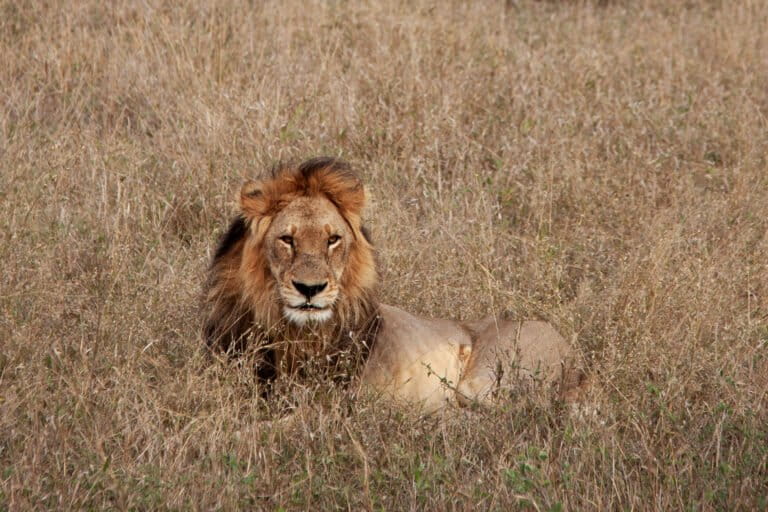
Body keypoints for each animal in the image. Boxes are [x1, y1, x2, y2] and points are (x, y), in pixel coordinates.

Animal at [202, 157, 583, 413]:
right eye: (286, 239)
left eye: (332, 240)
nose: (310, 289)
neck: (296, 333)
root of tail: (572, 349)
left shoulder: (333, 403)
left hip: (487, 376)